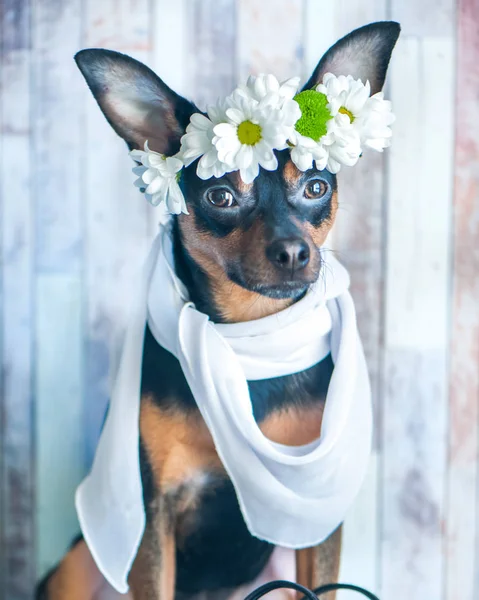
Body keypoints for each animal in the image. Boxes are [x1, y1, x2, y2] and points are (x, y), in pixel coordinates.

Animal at [35, 21, 400, 600]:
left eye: (317, 187)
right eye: (221, 196)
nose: (293, 252)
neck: (249, 339)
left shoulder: (314, 519)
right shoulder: (154, 519)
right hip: (77, 564)